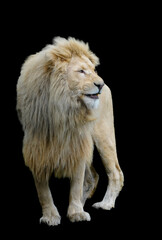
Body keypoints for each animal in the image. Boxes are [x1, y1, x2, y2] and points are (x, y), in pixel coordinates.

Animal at [16, 36, 124, 226]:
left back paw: (105, 204)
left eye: (93, 70)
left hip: (104, 135)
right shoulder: (36, 145)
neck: (62, 110)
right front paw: (51, 216)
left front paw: (76, 213)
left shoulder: (78, 143)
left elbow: (76, 183)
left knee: (115, 172)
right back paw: (83, 203)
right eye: (81, 71)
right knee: (92, 177)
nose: (100, 84)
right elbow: (43, 190)